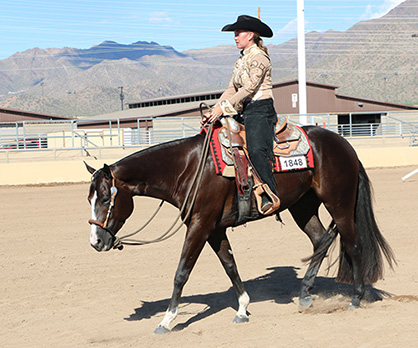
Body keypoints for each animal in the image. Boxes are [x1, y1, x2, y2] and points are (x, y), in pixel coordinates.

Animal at [85, 124, 396, 334]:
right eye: (89, 199)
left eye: (106, 198)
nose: (96, 242)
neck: (189, 168)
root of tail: (345, 145)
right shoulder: (214, 229)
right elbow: (230, 265)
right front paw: (243, 309)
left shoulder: (199, 226)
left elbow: (182, 272)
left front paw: (166, 320)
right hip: (302, 206)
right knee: (321, 241)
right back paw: (306, 293)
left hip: (339, 204)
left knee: (353, 244)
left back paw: (356, 297)